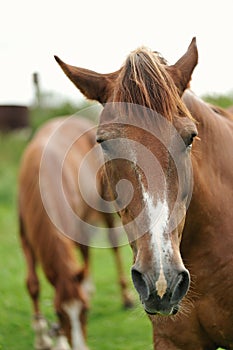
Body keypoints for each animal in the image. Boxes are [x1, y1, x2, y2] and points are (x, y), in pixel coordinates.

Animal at [18, 117, 133, 350]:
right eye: (57, 313)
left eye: (85, 311)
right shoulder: (25, 236)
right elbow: (33, 284)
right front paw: (42, 337)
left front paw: (59, 340)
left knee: (112, 245)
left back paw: (125, 297)